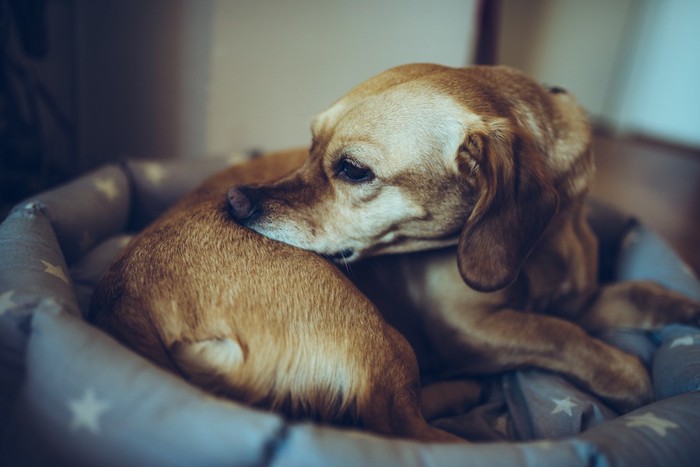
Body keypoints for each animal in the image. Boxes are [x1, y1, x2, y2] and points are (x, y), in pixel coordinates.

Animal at [227, 63, 696, 414]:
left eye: (354, 170)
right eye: (310, 144)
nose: (236, 201)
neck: (547, 241)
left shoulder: (573, 300)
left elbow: (634, 294)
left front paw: (682, 307)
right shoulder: (467, 327)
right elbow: (560, 335)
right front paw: (627, 374)